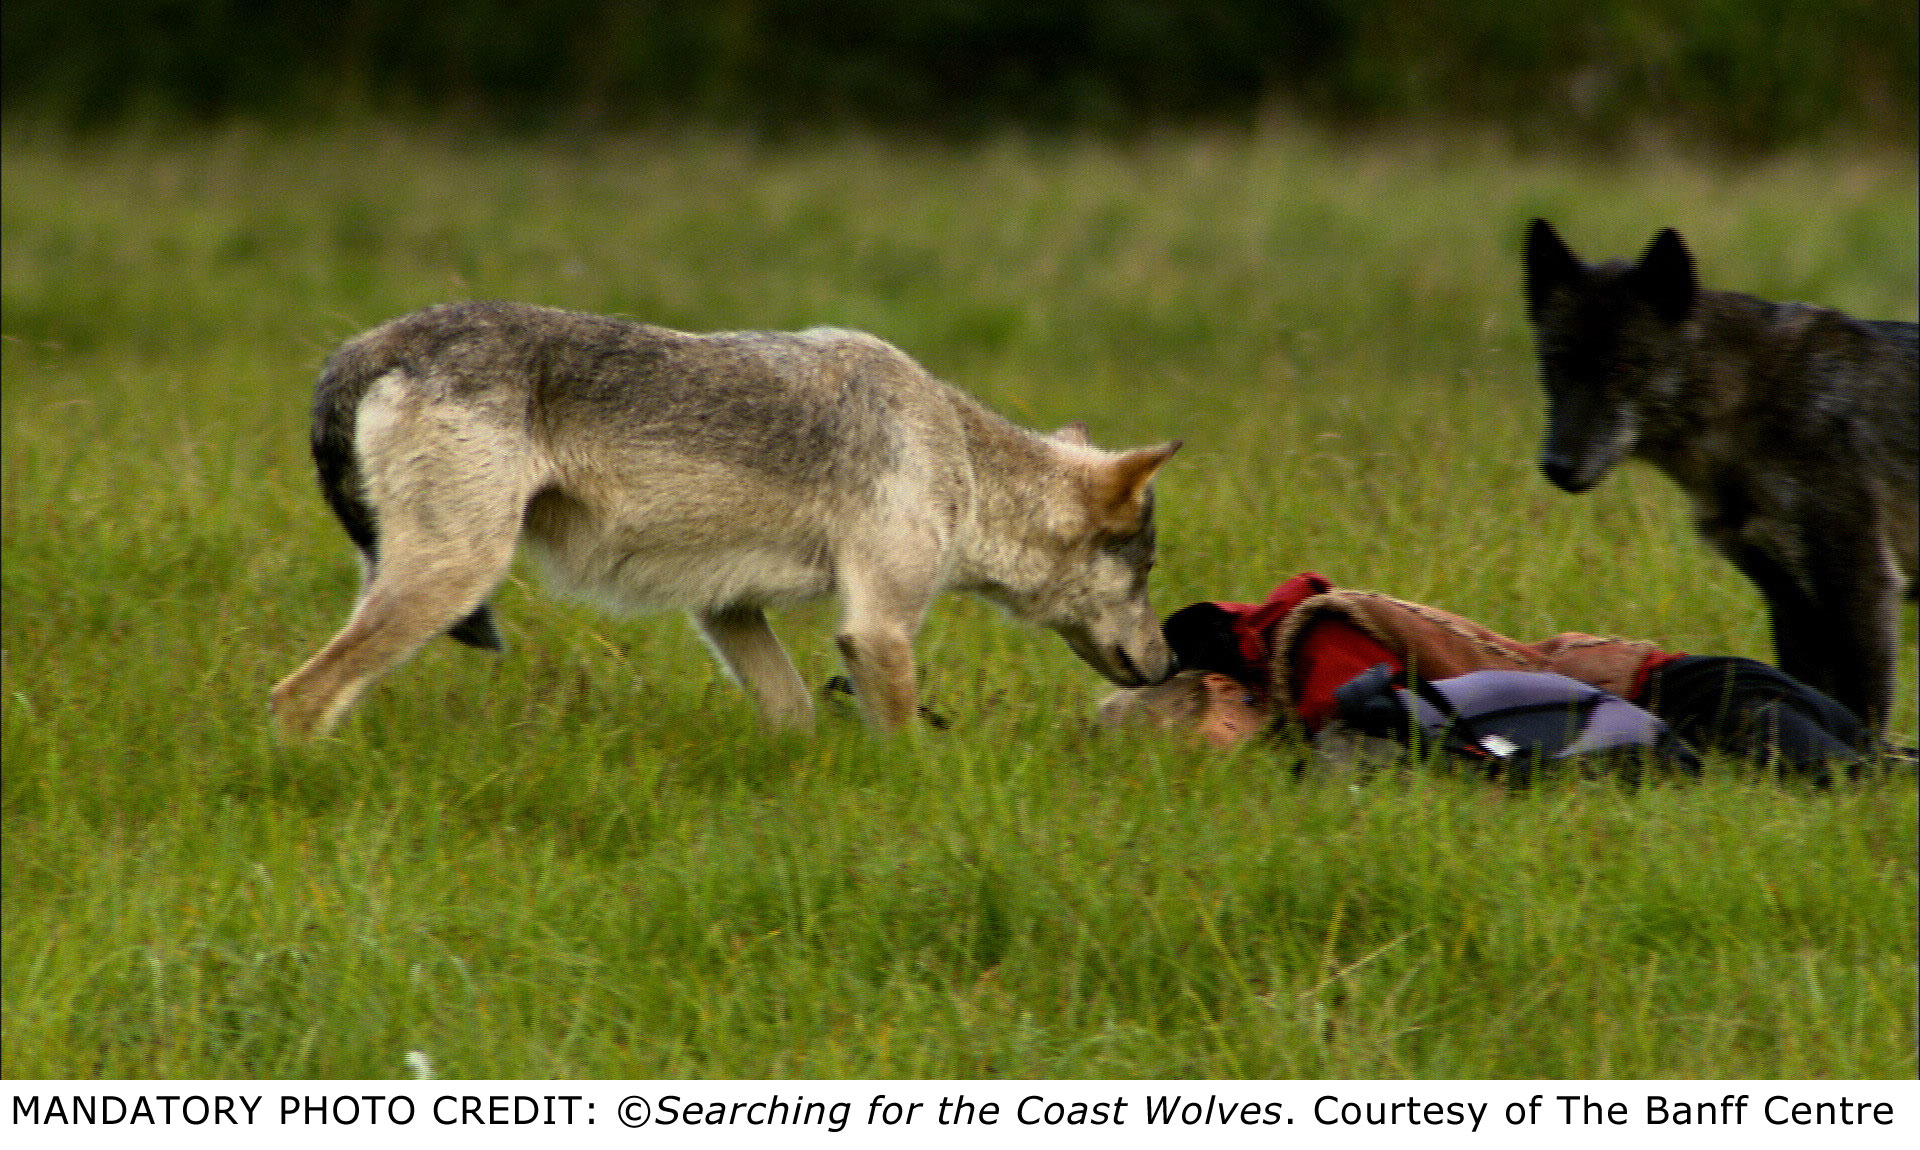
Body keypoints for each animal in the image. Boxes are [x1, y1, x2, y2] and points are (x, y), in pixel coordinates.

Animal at [266, 301, 1167, 737]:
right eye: (1150, 571)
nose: (1166, 664)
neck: (965, 461)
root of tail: (365, 346)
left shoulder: (727, 608)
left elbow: (795, 716)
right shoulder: (876, 628)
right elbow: (904, 742)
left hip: (410, 577)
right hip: (458, 577)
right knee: (295, 697)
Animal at [1520, 217, 1912, 729]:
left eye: (1621, 366)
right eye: (1555, 365)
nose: (1557, 466)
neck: (1753, 395)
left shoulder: (1863, 586)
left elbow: (1863, 714)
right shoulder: (1792, 602)